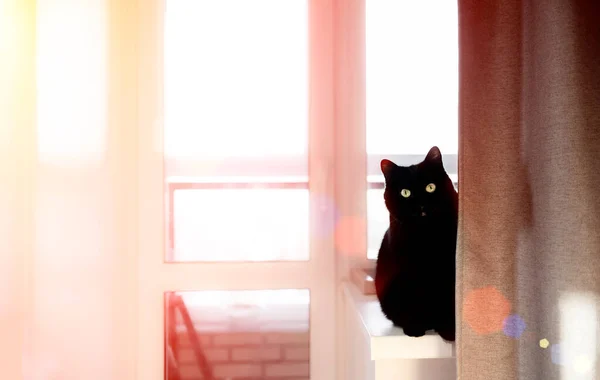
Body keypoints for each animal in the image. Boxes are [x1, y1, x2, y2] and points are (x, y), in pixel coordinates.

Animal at [376, 145, 460, 342]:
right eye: (405, 193)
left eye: (430, 187)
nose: (421, 205)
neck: (425, 237)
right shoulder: (408, 274)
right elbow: (414, 301)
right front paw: (414, 329)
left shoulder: (448, 271)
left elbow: (446, 302)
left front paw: (448, 330)